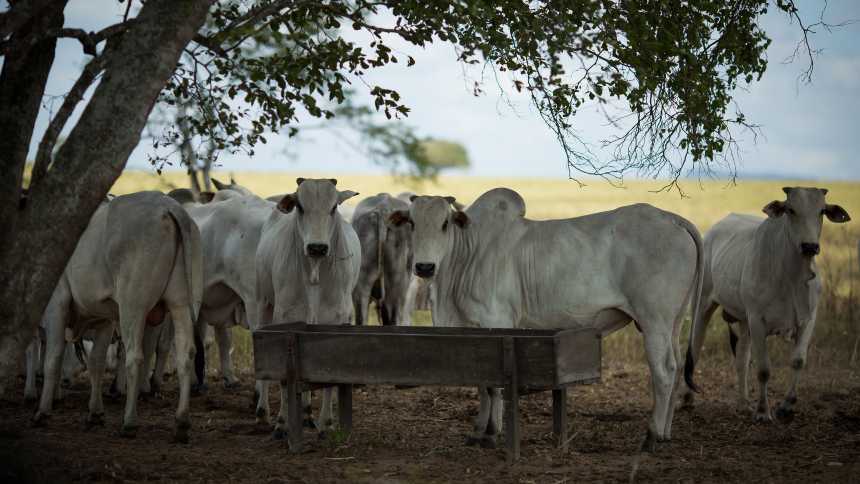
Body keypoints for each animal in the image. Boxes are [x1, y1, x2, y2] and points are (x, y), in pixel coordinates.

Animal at [31, 192, 202, 442]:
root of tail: (169, 207)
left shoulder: (57, 303)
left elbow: (53, 358)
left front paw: (43, 412)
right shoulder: (104, 318)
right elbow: (96, 363)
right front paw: (95, 413)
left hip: (133, 305)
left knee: (135, 356)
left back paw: (129, 422)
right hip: (180, 303)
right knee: (185, 353)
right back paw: (181, 422)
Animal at [255, 177, 362, 438]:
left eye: (333, 207)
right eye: (300, 207)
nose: (317, 247)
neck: (315, 272)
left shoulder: (335, 321)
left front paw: (327, 424)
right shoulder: (285, 320)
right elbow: (284, 377)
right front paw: (282, 424)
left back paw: (306, 415)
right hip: (262, 303)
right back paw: (263, 412)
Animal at [390, 187, 704, 452]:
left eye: (445, 223)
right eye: (412, 223)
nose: (425, 267)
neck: (468, 254)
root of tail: (671, 218)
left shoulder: (497, 321)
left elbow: (493, 385)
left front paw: (492, 433)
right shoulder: (473, 332)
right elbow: (481, 382)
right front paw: (479, 431)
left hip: (654, 321)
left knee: (664, 371)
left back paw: (651, 436)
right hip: (673, 322)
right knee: (677, 367)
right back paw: (665, 433)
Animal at [680, 187, 848, 422]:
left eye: (822, 211)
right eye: (790, 209)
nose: (810, 246)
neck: (792, 276)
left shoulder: (808, 319)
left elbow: (798, 361)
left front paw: (786, 406)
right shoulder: (757, 320)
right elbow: (763, 369)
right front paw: (762, 412)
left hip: (742, 319)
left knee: (742, 358)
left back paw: (743, 403)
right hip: (702, 304)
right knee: (695, 346)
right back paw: (687, 398)